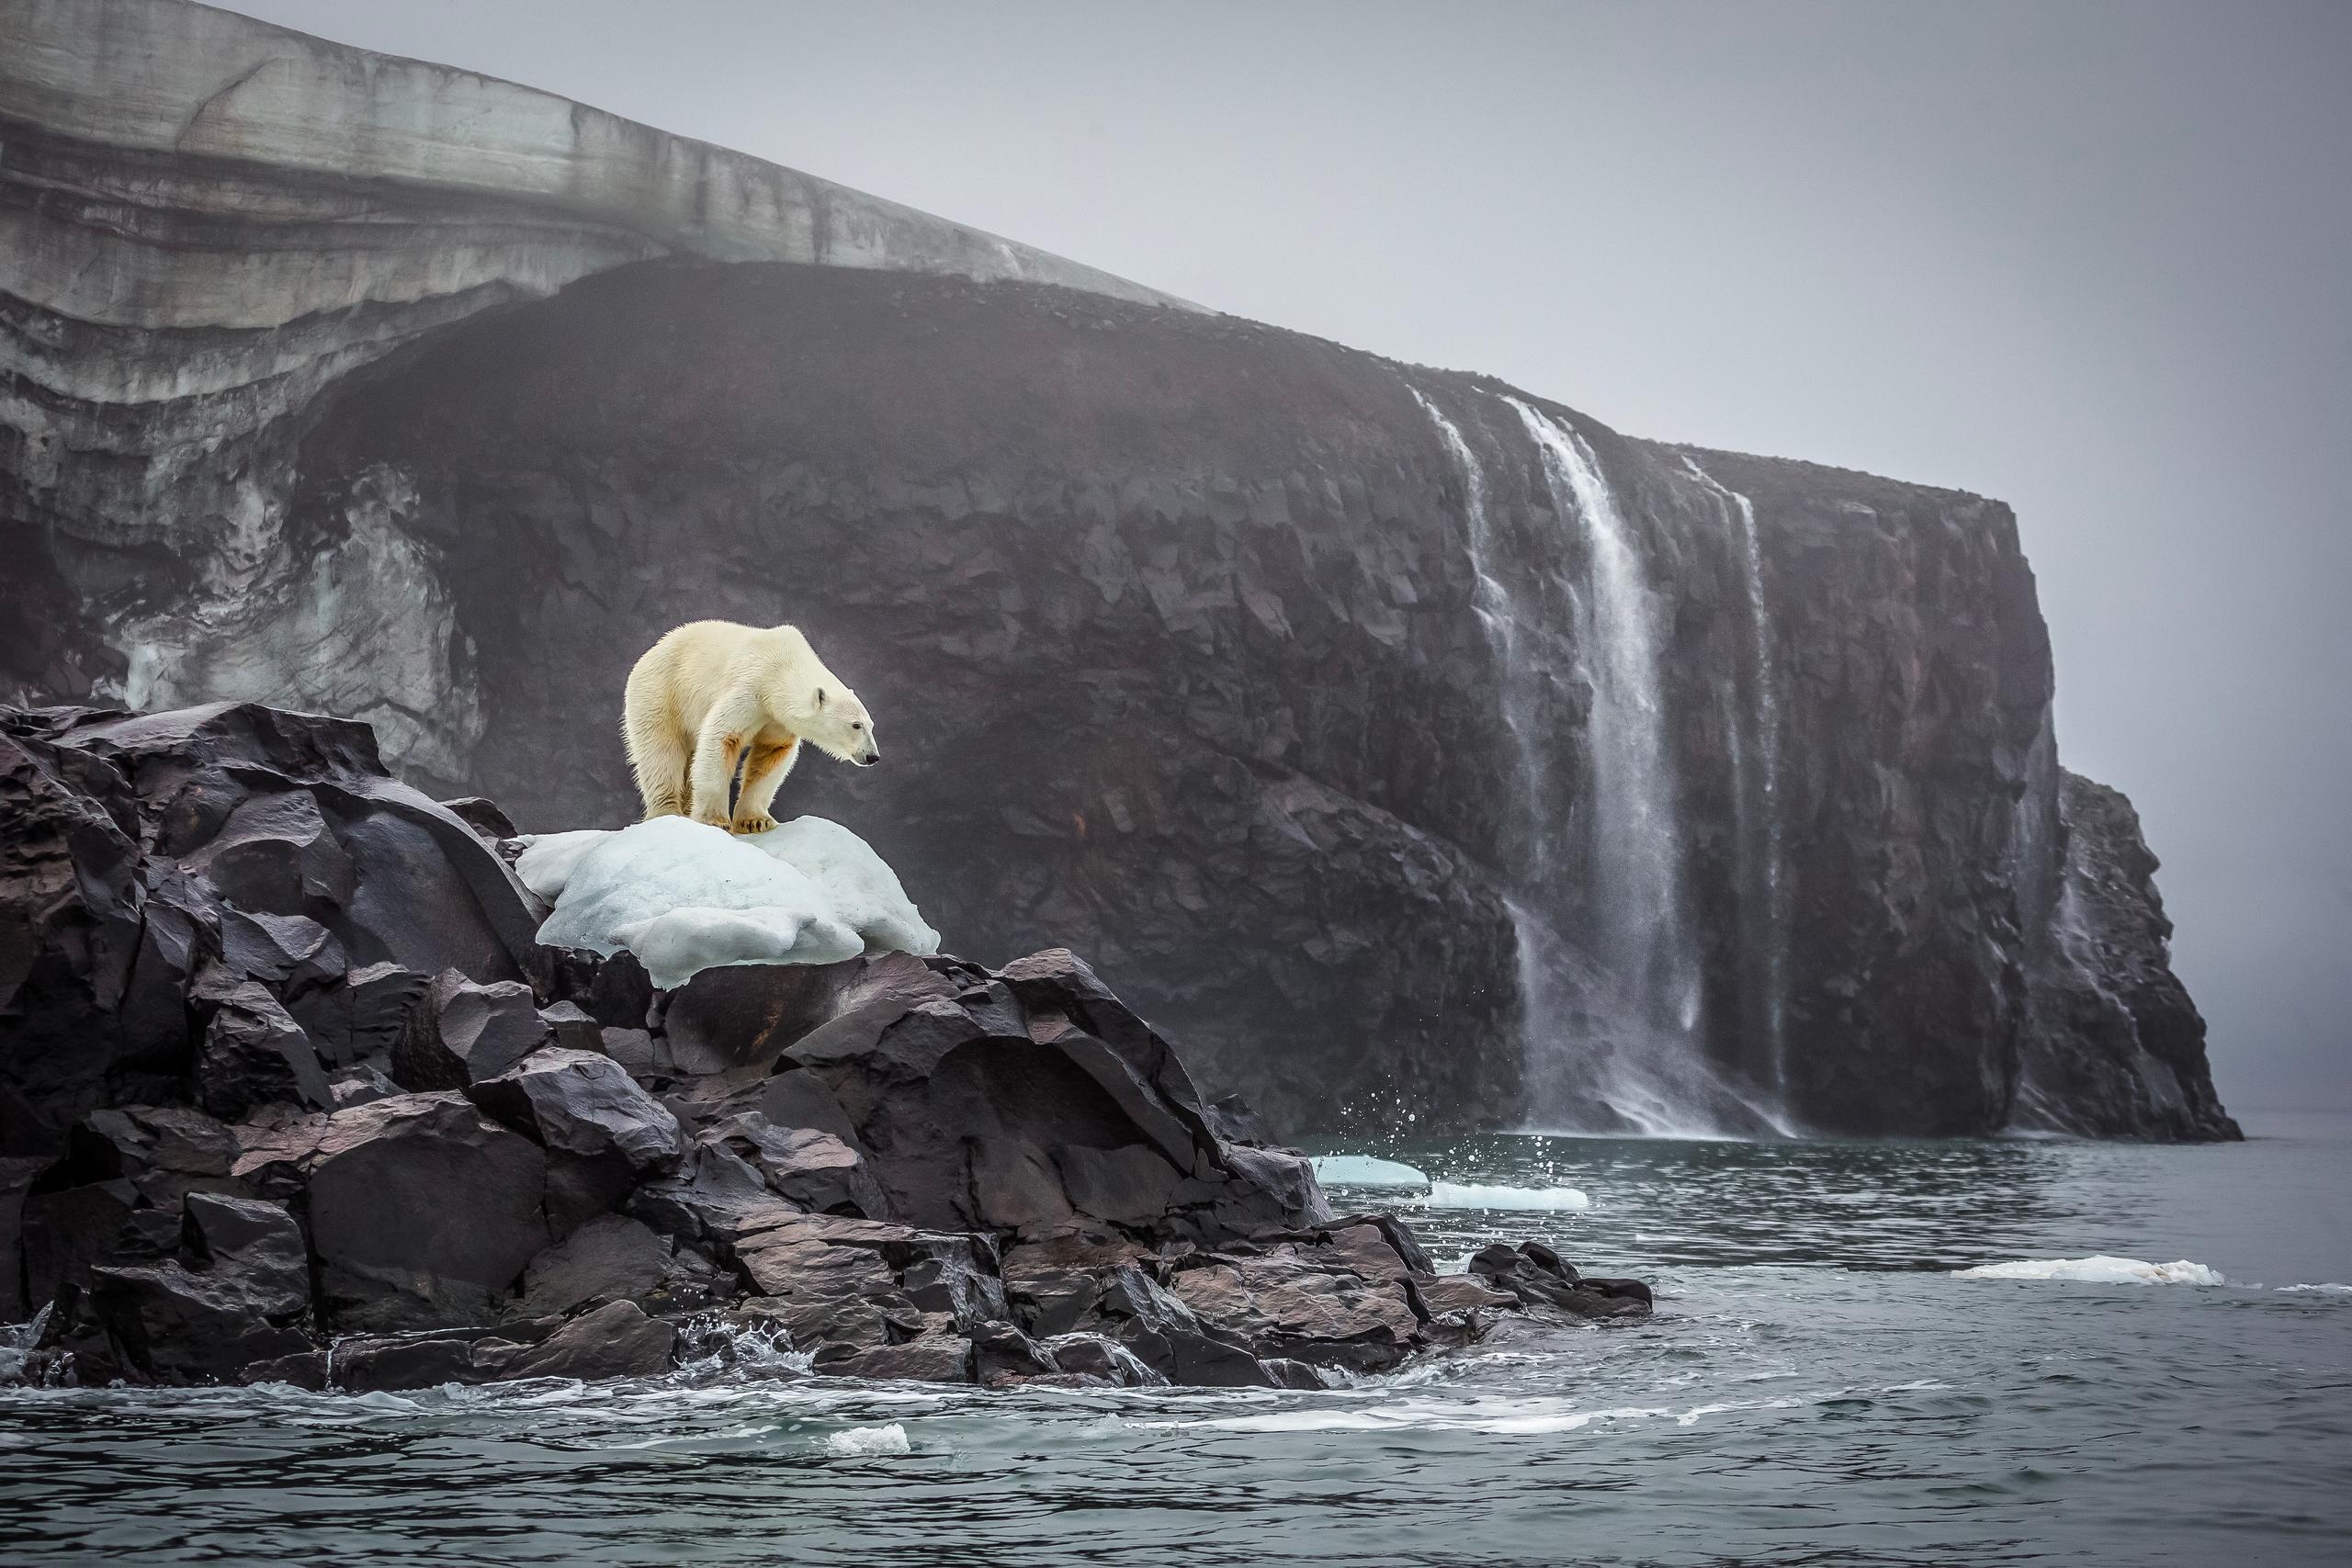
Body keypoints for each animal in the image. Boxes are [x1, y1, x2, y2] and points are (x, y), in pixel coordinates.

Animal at [620, 620, 879, 831]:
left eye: (871, 725)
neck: (782, 665)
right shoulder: (751, 687)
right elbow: (722, 737)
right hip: (661, 693)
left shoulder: (777, 719)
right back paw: (668, 811)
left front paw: (755, 821)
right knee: (661, 753)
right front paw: (715, 821)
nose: (872, 756)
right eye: (856, 725)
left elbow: (771, 754)